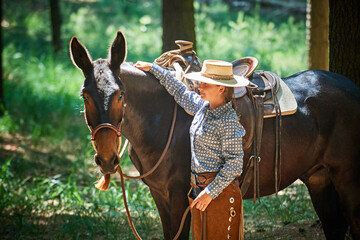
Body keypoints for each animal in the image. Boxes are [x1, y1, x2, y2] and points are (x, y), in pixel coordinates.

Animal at [70, 31, 360, 240]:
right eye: (85, 96)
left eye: (120, 94)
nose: (107, 159)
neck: (160, 117)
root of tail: (352, 88)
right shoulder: (160, 194)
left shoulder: (180, 197)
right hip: (318, 178)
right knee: (335, 226)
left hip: (347, 178)